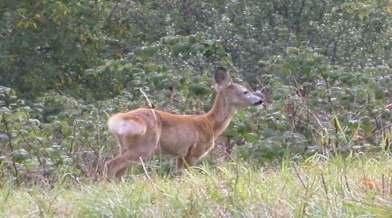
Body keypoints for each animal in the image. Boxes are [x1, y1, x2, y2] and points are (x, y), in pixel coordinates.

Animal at [104, 67, 264, 179]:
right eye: (245, 92)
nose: (260, 100)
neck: (211, 124)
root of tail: (120, 119)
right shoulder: (194, 151)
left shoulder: (180, 155)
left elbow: (178, 175)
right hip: (145, 146)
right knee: (111, 165)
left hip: (125, 147)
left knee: (119, 171)